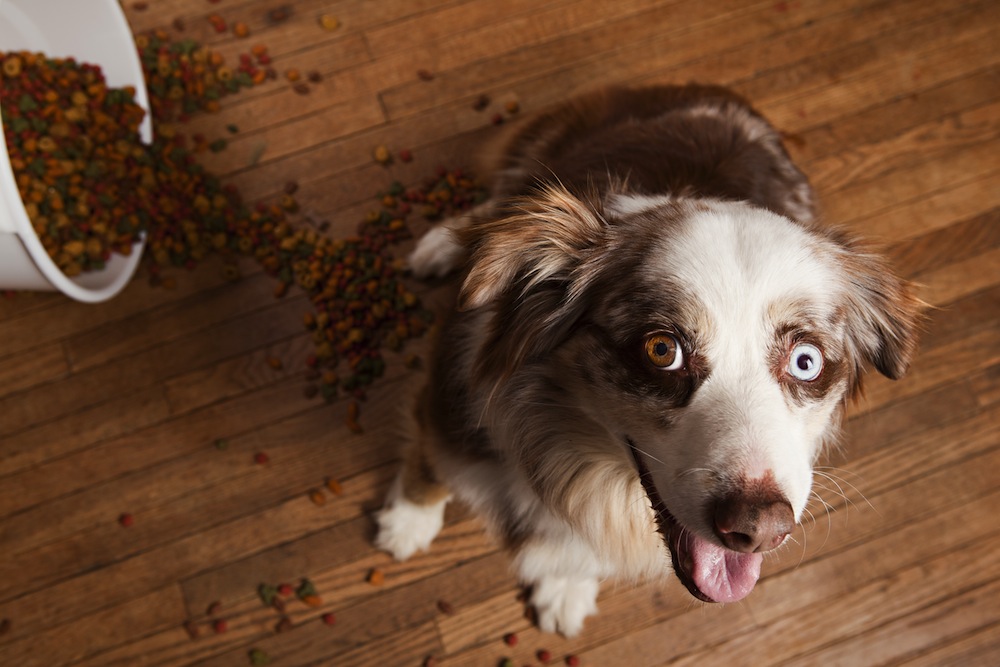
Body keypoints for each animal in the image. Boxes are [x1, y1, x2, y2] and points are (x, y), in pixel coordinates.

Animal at [376, 86, 920, 640]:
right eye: (663, 350)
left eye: (805, 361)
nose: (759, 529)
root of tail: (713, 92)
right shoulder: (450, 404)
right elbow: (428, 470)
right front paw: (407, 523)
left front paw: (566, 586)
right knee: (502, 203)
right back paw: (445, 243)